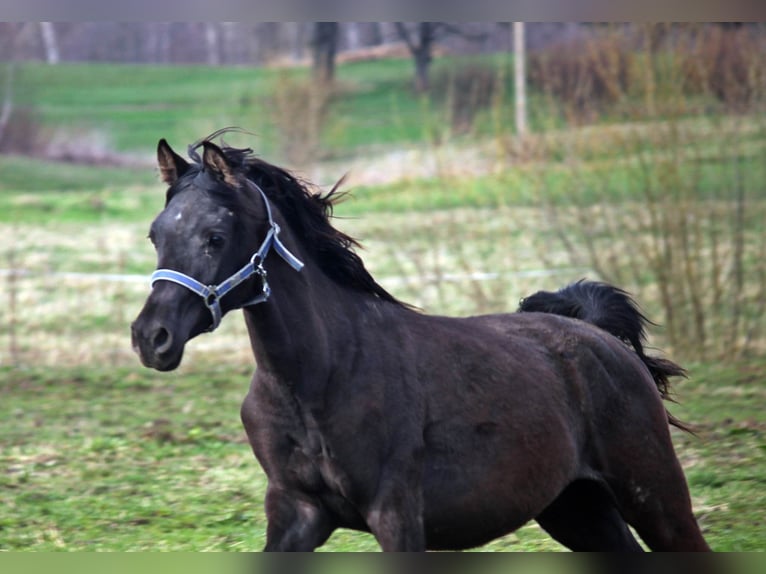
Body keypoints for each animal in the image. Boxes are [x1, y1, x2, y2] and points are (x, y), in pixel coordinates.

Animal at [132, 132, 712, 552]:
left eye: (215, 236)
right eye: (156, 234)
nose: (151, 338)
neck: (320, 377)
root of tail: (600, 338)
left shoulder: (397, 515)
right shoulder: (297, 513)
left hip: (654, 497)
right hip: (576, 507)